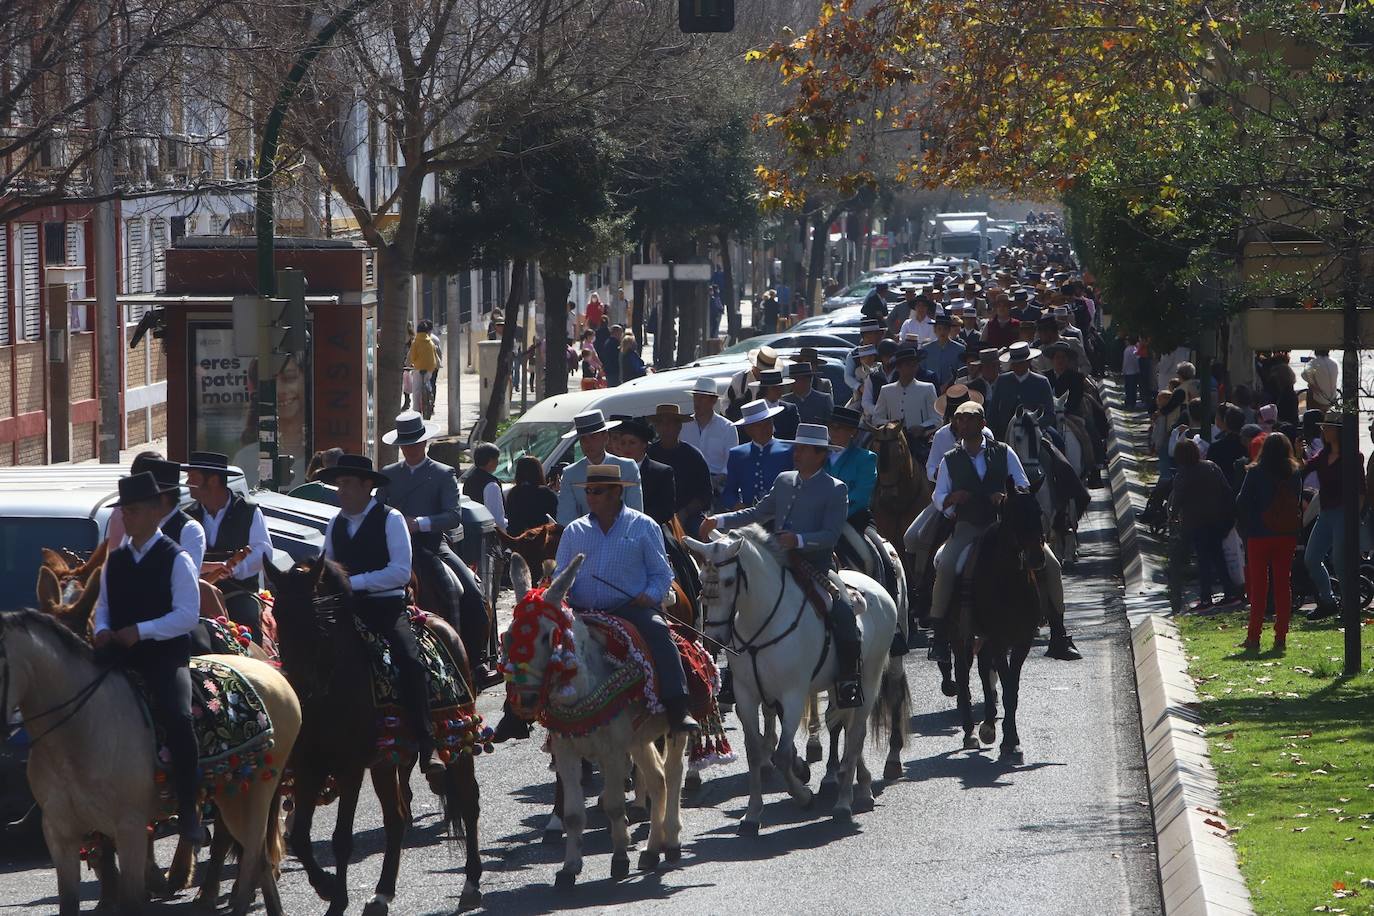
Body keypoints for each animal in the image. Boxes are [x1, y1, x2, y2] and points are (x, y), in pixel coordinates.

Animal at [0, 609, 300, 916]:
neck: (81, 730)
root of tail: (272, 673)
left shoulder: (129, 828)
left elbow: (131, 899)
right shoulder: (60, 832)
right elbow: (71, 899)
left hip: (253, 793)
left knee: (249, 852)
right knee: (257, 855)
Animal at [265, 560, 486, 916]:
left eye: (320, 617)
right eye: (278, 616)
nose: (302, 688)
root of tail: (440, 623)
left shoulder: (350, 767)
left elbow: (342, 839)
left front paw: (337, 900)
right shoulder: (310, 765)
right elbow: (298, 837)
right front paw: (326, 886)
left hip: (457, 735)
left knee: (468, 802)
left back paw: (471, 883)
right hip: (386, 760)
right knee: (396, 819)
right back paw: (382, 893)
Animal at [502, 552, 692, 889]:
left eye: (548, 636)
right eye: (509, 635)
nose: (524, 700)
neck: (583, 690)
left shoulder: (612, 752)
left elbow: (615, 807)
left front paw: (619, 860)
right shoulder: (566, 752)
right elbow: (574, 814)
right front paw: (568, 868)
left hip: (672, 729)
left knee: (672, 775)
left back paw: (671, 843)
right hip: (640, 739)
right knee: (657, 781)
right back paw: (651, 850)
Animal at [687, 521, 901, 829]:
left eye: (728, 581)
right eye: (702, 579)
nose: (713, 639)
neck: (762, 622)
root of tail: (875, 588)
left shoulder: (792, 696)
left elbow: (782, 754)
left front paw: (802, 796)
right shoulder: (746, 695)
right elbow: (755, 752)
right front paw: (752, 814)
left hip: (869, 680)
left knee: (856, 734)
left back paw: (845, 802)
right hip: (841, 685)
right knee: (846, 727)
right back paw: (859, 784)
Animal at [945, 491, 1049, 763]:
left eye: (1039, 512)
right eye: (1014, 514)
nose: (1037, 557)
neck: (1009, 581)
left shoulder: (1022, 641)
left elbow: (1011, 689)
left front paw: (1011, 741)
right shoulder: (999, 640)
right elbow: (1007, 686)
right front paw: (1009, 740)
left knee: (983, 671)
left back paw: (989, 724)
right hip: (960, 634)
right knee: (963, 674)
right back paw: (970, 731)